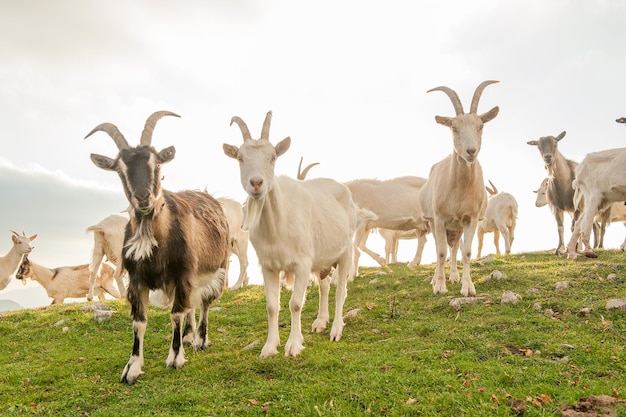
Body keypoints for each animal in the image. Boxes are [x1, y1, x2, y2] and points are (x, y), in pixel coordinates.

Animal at [84, 109, 228, 384]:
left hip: (218, 268)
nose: (143, 197)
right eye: (120, 170)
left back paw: (200, 340)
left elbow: (175, 314)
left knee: (204, 302)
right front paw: (132, 368)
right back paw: (189, 336)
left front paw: (175, 358)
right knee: (192, 304)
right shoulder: (137, 279)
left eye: (157, 164)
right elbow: (139, 321)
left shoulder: (183, 273)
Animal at [222, 110, 358, 358]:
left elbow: (295, 303)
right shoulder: (268, 266)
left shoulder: (302, 263)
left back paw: (336, 329)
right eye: (240, 158)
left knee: (340, 290)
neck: (277, 226)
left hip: (345, 252)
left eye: (273, 157)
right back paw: (321, 321)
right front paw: (269, 346)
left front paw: (294, 345)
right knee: (324, 286)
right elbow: (271, 306)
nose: (256, 183)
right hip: (322, 260)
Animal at [416, 79, 500, 296]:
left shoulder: (471, 219)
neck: (459, 190)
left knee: (454, 248)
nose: (471, 151)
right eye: (453, 127)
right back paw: (436, 279)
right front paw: (439, 286)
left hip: (457, 225)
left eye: (480, 126)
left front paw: (467, 286)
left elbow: (466, 251)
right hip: (434, 221)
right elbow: (440, 252)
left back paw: (454, 275)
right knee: (441, 246)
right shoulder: (439, 219)